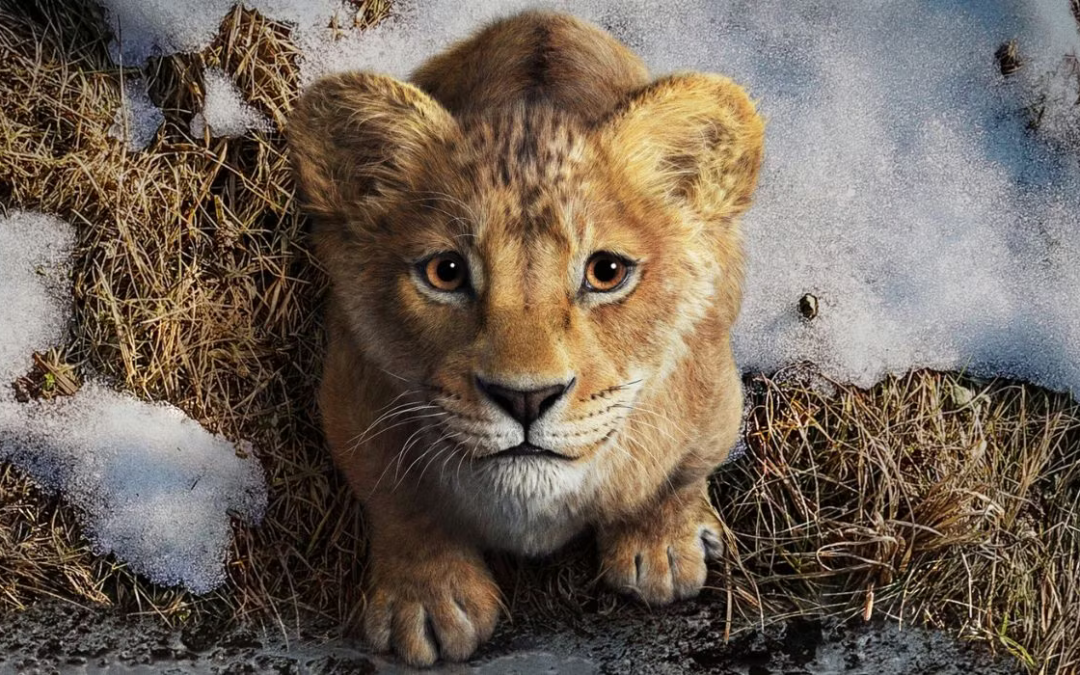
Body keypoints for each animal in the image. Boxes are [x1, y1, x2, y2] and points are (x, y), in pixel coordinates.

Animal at [288, 10, 764, 666]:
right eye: (446, 272)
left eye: (606, 272)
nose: (525, 399)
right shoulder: (350, 394)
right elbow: (399, 502)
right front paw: (427, 601)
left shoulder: (714, 394)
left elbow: (677, 475)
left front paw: (662, 549)